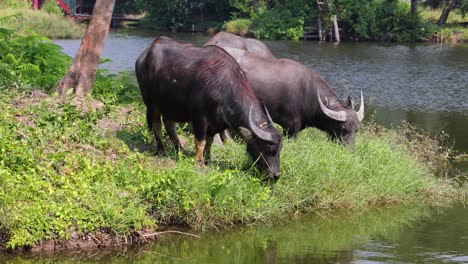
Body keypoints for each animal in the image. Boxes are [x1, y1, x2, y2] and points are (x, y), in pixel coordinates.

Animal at [133, 37, 284, 180]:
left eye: (280, 149)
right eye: (268, 148)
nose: (276, 175)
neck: (224, 86)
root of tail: (144, 55)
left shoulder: (215, 123)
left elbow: (210, 141)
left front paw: (208, 159)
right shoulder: (199, 118)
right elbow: (200, 141)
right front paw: (199, 163)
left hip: (170, 105)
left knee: (169, 124)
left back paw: (179, 149)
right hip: (151, 103)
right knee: (156, 124)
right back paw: (161, 149)